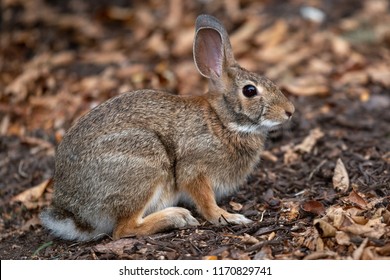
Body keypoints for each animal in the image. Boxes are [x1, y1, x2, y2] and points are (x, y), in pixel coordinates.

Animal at [40, 14, 296, 241]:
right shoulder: (194, 168)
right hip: (145, 164)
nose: (290, 111)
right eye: (250, 91)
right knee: (123, 229)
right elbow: (206, 201)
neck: (222, 121)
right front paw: (229, 217)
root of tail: (75, 214)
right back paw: (176, 217)